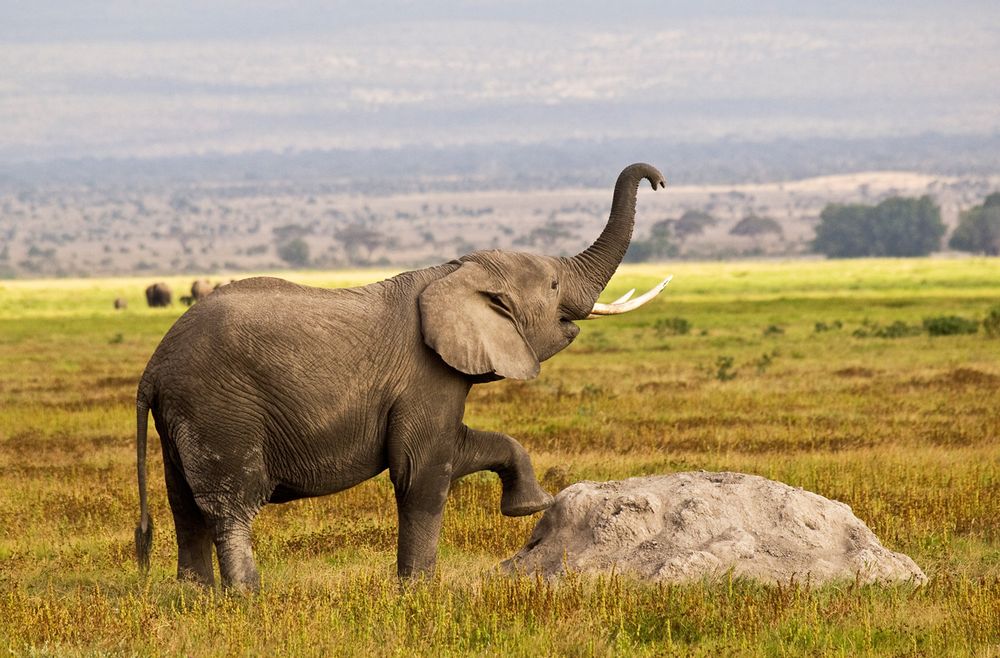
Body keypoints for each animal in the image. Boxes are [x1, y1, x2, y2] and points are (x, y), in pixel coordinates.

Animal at [131, 161, 664, 588]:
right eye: (553, 285)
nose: (657, 180)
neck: (452, 272)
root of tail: (153, 368)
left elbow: (464, 447)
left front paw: (528, 507)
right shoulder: (425, 376)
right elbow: (421, 472)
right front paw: (419, 591)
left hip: (184, 418)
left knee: (184, 506)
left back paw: (195, 597)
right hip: (220, 409)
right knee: (229, 506)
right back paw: (247, 596)